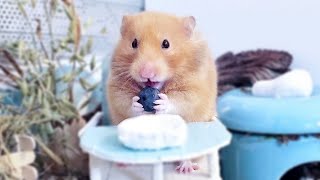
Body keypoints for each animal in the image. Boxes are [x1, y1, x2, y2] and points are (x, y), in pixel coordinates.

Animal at [107, 11, 218, 173]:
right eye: (133, 43)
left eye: (166, 44)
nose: (146, 73)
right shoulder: (116, 90)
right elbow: (124, 101)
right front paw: (137, 103)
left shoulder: (195, 90)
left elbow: (182, 100)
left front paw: (161, 103)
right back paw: (122, 163)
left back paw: (186, 168)